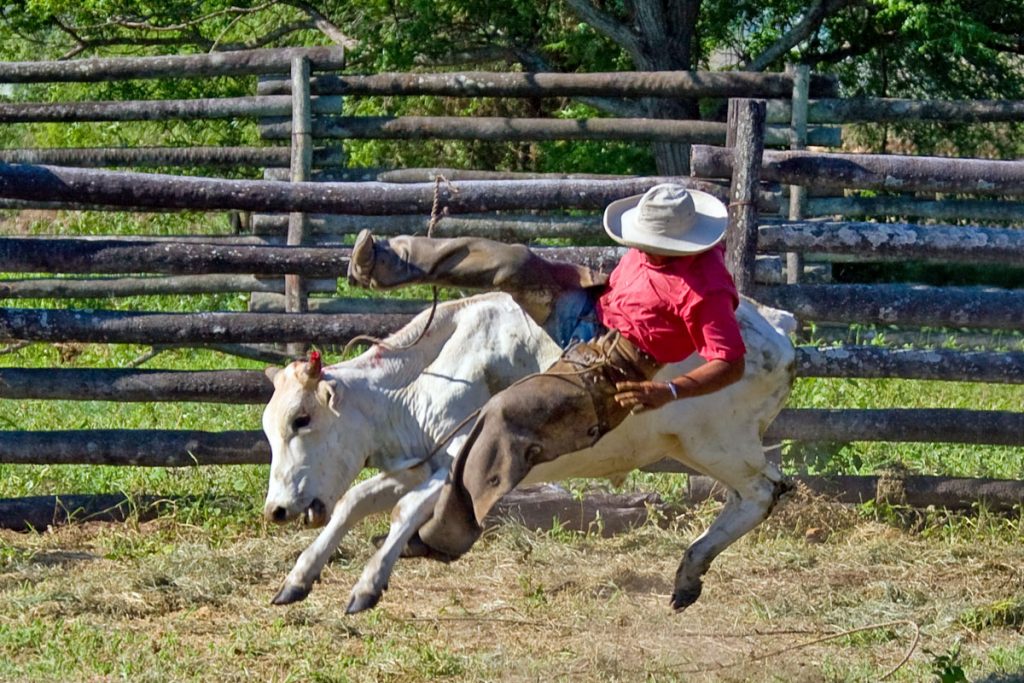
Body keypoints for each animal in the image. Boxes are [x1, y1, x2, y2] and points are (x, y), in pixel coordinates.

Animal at [260, 292, 794, 614]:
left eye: (301, 419)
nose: (277, 510)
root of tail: (773, 325)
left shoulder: (457, 461)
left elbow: (404, 511)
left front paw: (368, 585)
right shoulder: (421, 463)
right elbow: (354, 502)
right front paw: (297, 579)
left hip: (718, 443)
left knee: (761, 492)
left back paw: (691, 567)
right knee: (752, 496)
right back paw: (688, 574)